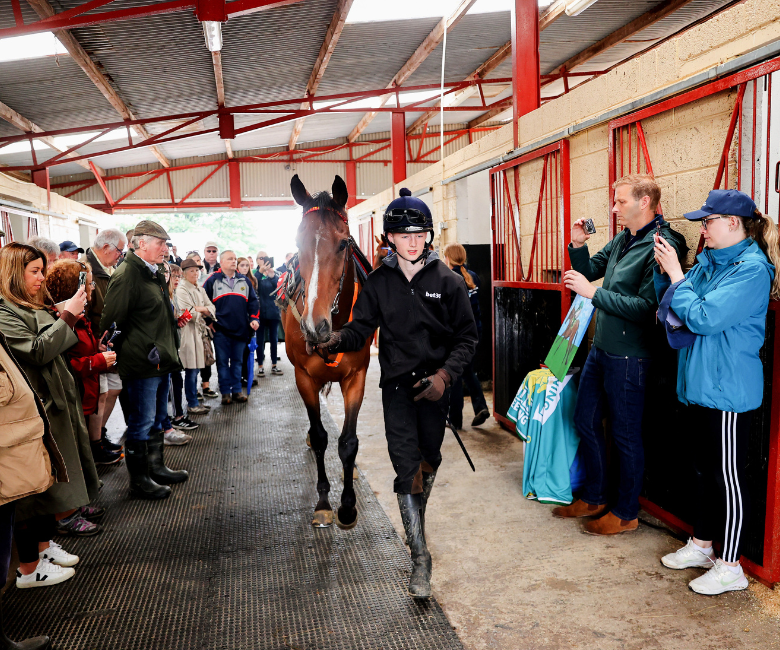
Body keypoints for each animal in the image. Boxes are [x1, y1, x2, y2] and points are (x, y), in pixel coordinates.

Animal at [282, 175, 374, 528]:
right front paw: (323, 502)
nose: (313, 325)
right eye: (299, 243)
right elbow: (321, 436)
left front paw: (347, 506)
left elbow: (348, 442)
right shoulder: (304, 377)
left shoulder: (356, 377)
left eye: (344, 243)